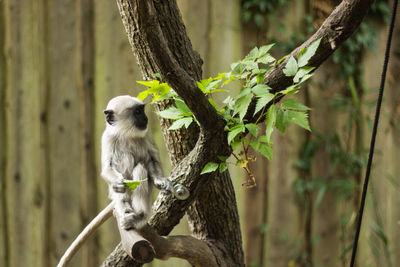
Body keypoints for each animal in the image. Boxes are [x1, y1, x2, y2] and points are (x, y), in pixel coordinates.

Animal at [101, 94, 173, 230]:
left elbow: (152, 159)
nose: (145, 118)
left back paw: (140, 216)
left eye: (142, 110)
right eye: (137, 112)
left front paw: (160, 181)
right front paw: (118, 183)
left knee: (140, 167)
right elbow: (107, 169)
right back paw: (125, 206)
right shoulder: (108, 138)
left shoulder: (146, 133)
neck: (127, 134)